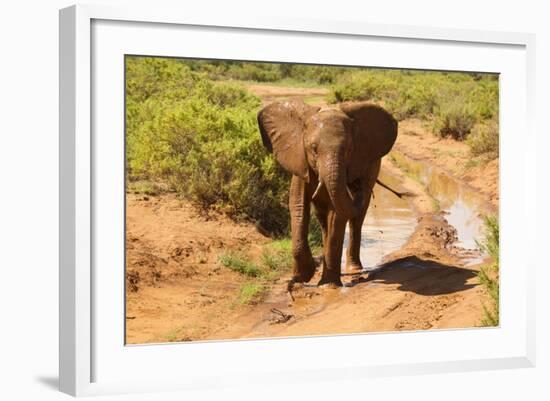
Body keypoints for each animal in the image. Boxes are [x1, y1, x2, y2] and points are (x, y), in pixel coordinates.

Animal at [256, 100, 398, 288]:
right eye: (313, 149)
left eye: (349, 149)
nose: (356, 183)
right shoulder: (300, 162)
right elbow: (298, 206)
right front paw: (304, 275)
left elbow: (337, 213)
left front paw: (328, 285)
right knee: (323, 217)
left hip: (373, 167)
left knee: (357, 216)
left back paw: (354, 269)